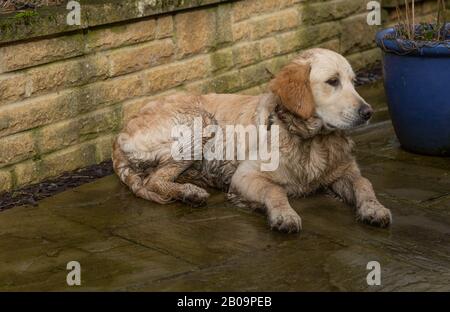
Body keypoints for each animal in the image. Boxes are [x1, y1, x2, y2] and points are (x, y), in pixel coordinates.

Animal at [113, 48, 394, 233]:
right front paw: (284, 215)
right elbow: (275, 190)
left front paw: (374, 209)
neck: (309, 139)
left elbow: (364, 183)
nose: (368, 112)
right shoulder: (245, 176)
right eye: (332, 81)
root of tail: (119, 135)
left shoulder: (344, 171)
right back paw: (190, 192)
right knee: (154, 180)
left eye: (354, 82)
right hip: (200, 120)